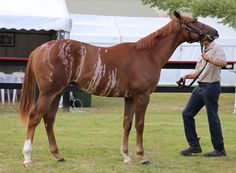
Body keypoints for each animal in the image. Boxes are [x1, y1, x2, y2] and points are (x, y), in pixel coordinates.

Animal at [19, 11, 218, 166]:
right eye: (194, 21)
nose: (214, 33)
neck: (147, 54)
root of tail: (38, 50)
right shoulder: (142, 96)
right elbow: (139, 124)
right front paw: (142, 156)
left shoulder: (129, 97)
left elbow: (127, 124)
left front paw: (126, 156)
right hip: (48, 93)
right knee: (35, 117)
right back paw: (27, 157)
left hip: (57, 93)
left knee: (49, 119)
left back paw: (58, 155)